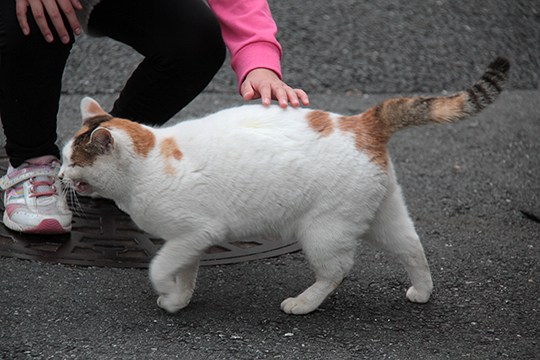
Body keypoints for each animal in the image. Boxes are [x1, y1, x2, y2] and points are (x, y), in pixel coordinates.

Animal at [60, 57, 510, 316]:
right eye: (63, 157)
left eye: (74, 161)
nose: (60, 176)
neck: (149, 162)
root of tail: (361, 122)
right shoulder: (187, 240)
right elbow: (183, 273)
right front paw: (177, 301)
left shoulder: (195, 232)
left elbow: (158, 266)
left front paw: (164, 291)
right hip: (384, 214)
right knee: (412, 246)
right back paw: (422, 291)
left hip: (323, 229)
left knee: (337, 270)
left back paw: (304, 303)